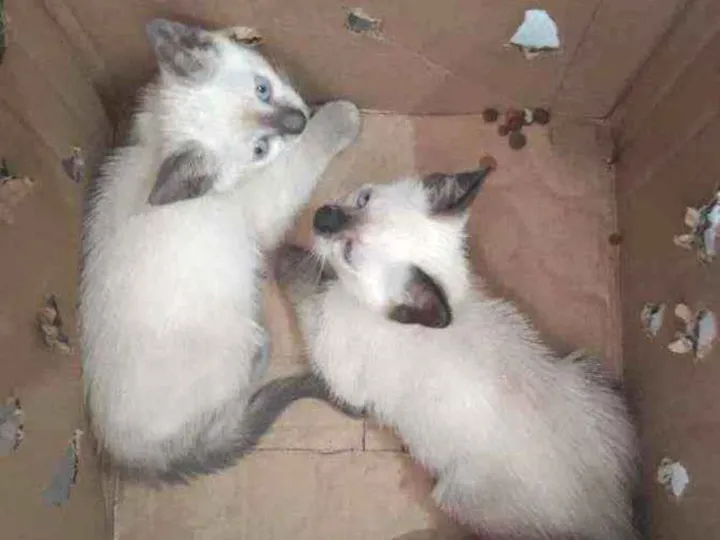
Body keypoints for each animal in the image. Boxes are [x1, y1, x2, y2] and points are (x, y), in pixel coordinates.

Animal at [80, 18, 361, 484]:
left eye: (262, 89)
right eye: (260, 150)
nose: (297, 120)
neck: (153, 145)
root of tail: (127, 455)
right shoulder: (267, 203)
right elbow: (305, 157)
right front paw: (341, 116)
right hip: (232, 339)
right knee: (224, 418)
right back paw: (262, 350)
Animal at [272, 161, 638, 539]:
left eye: (349, 253)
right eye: (363, 198)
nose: (322, 217)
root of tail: (611, 520)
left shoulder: (341, 372)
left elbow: (304, 288)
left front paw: (283, 256)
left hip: (457, 495)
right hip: (590, 375)